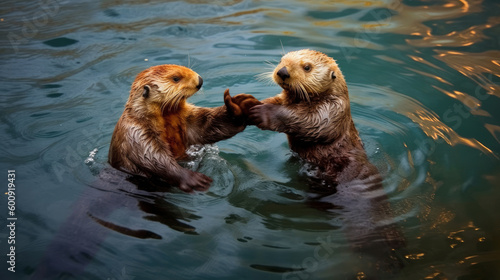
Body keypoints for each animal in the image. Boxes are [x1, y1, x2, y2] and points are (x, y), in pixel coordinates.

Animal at [111, 65, 248, 192]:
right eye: (176, 78)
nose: (200, 80)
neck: (165, 116)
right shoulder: (136, 132)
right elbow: (152, 157)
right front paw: (193, 179)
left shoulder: (188, 119)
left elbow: (206, 127)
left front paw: (236, 108)